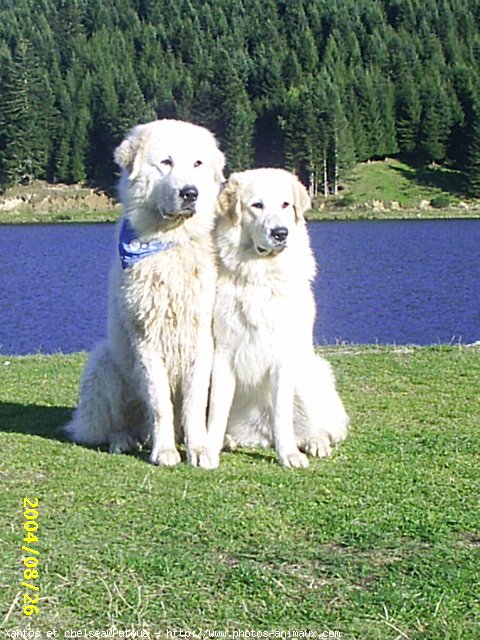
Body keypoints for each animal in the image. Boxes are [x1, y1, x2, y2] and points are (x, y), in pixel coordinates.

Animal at [65, 119, 225, 464]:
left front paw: (198, 450)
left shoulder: (201, 339)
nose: (190, 193)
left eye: (197, 163)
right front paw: (164, 451)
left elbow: (193, 404)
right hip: (104, 363)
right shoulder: (146, 339)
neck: (169, 243)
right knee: (112, 424)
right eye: (166, 162)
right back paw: (125, 440)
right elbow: (160, 403)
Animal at [206, 169, 348, 470]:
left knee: (320, 428)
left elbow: (283, 415)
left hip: (311, 376)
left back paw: (315, 443)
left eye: (285, 205)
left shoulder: (283, 356)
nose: (280, 233)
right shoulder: (223, 355)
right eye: (256, 205)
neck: (260, 274)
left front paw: (289, 455)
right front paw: (207, 450)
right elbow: (216, 413)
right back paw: (230, 441)